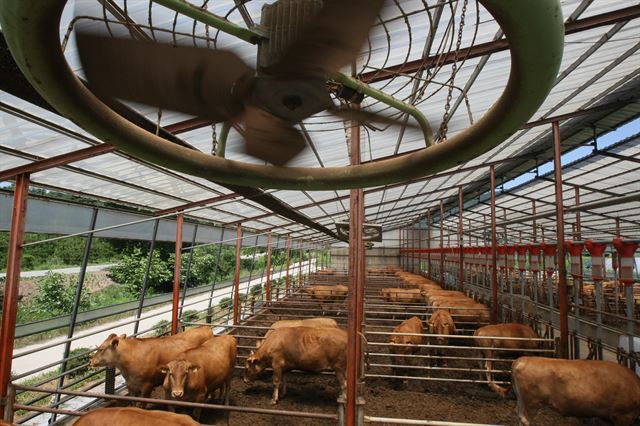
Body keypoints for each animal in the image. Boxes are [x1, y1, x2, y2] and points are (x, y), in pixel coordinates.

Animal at [512, 356, 640, 426]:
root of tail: (522, 359)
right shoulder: (623, 415)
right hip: (533, 403)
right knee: (525, 420)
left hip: (521, 401)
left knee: (519, 415)